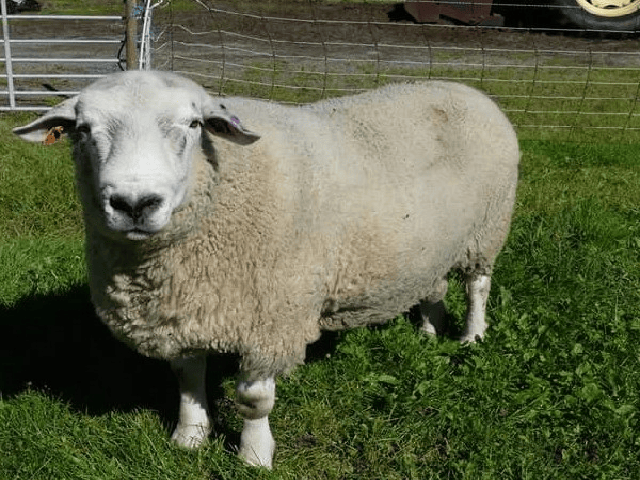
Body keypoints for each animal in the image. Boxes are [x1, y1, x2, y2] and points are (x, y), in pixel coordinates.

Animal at [13, 70, 519, 468]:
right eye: (82, 130)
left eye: (193, 124)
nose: (135, 204)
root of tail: (465, 88)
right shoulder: (183, 306)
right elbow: (187, 379)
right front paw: (189, 438)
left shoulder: (271, 316)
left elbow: (253, 400)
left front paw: (254, 455)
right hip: (438, 240)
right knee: (434, 285)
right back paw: (429, 331)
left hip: (488, 228)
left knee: (477, 285)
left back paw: (472, 336)